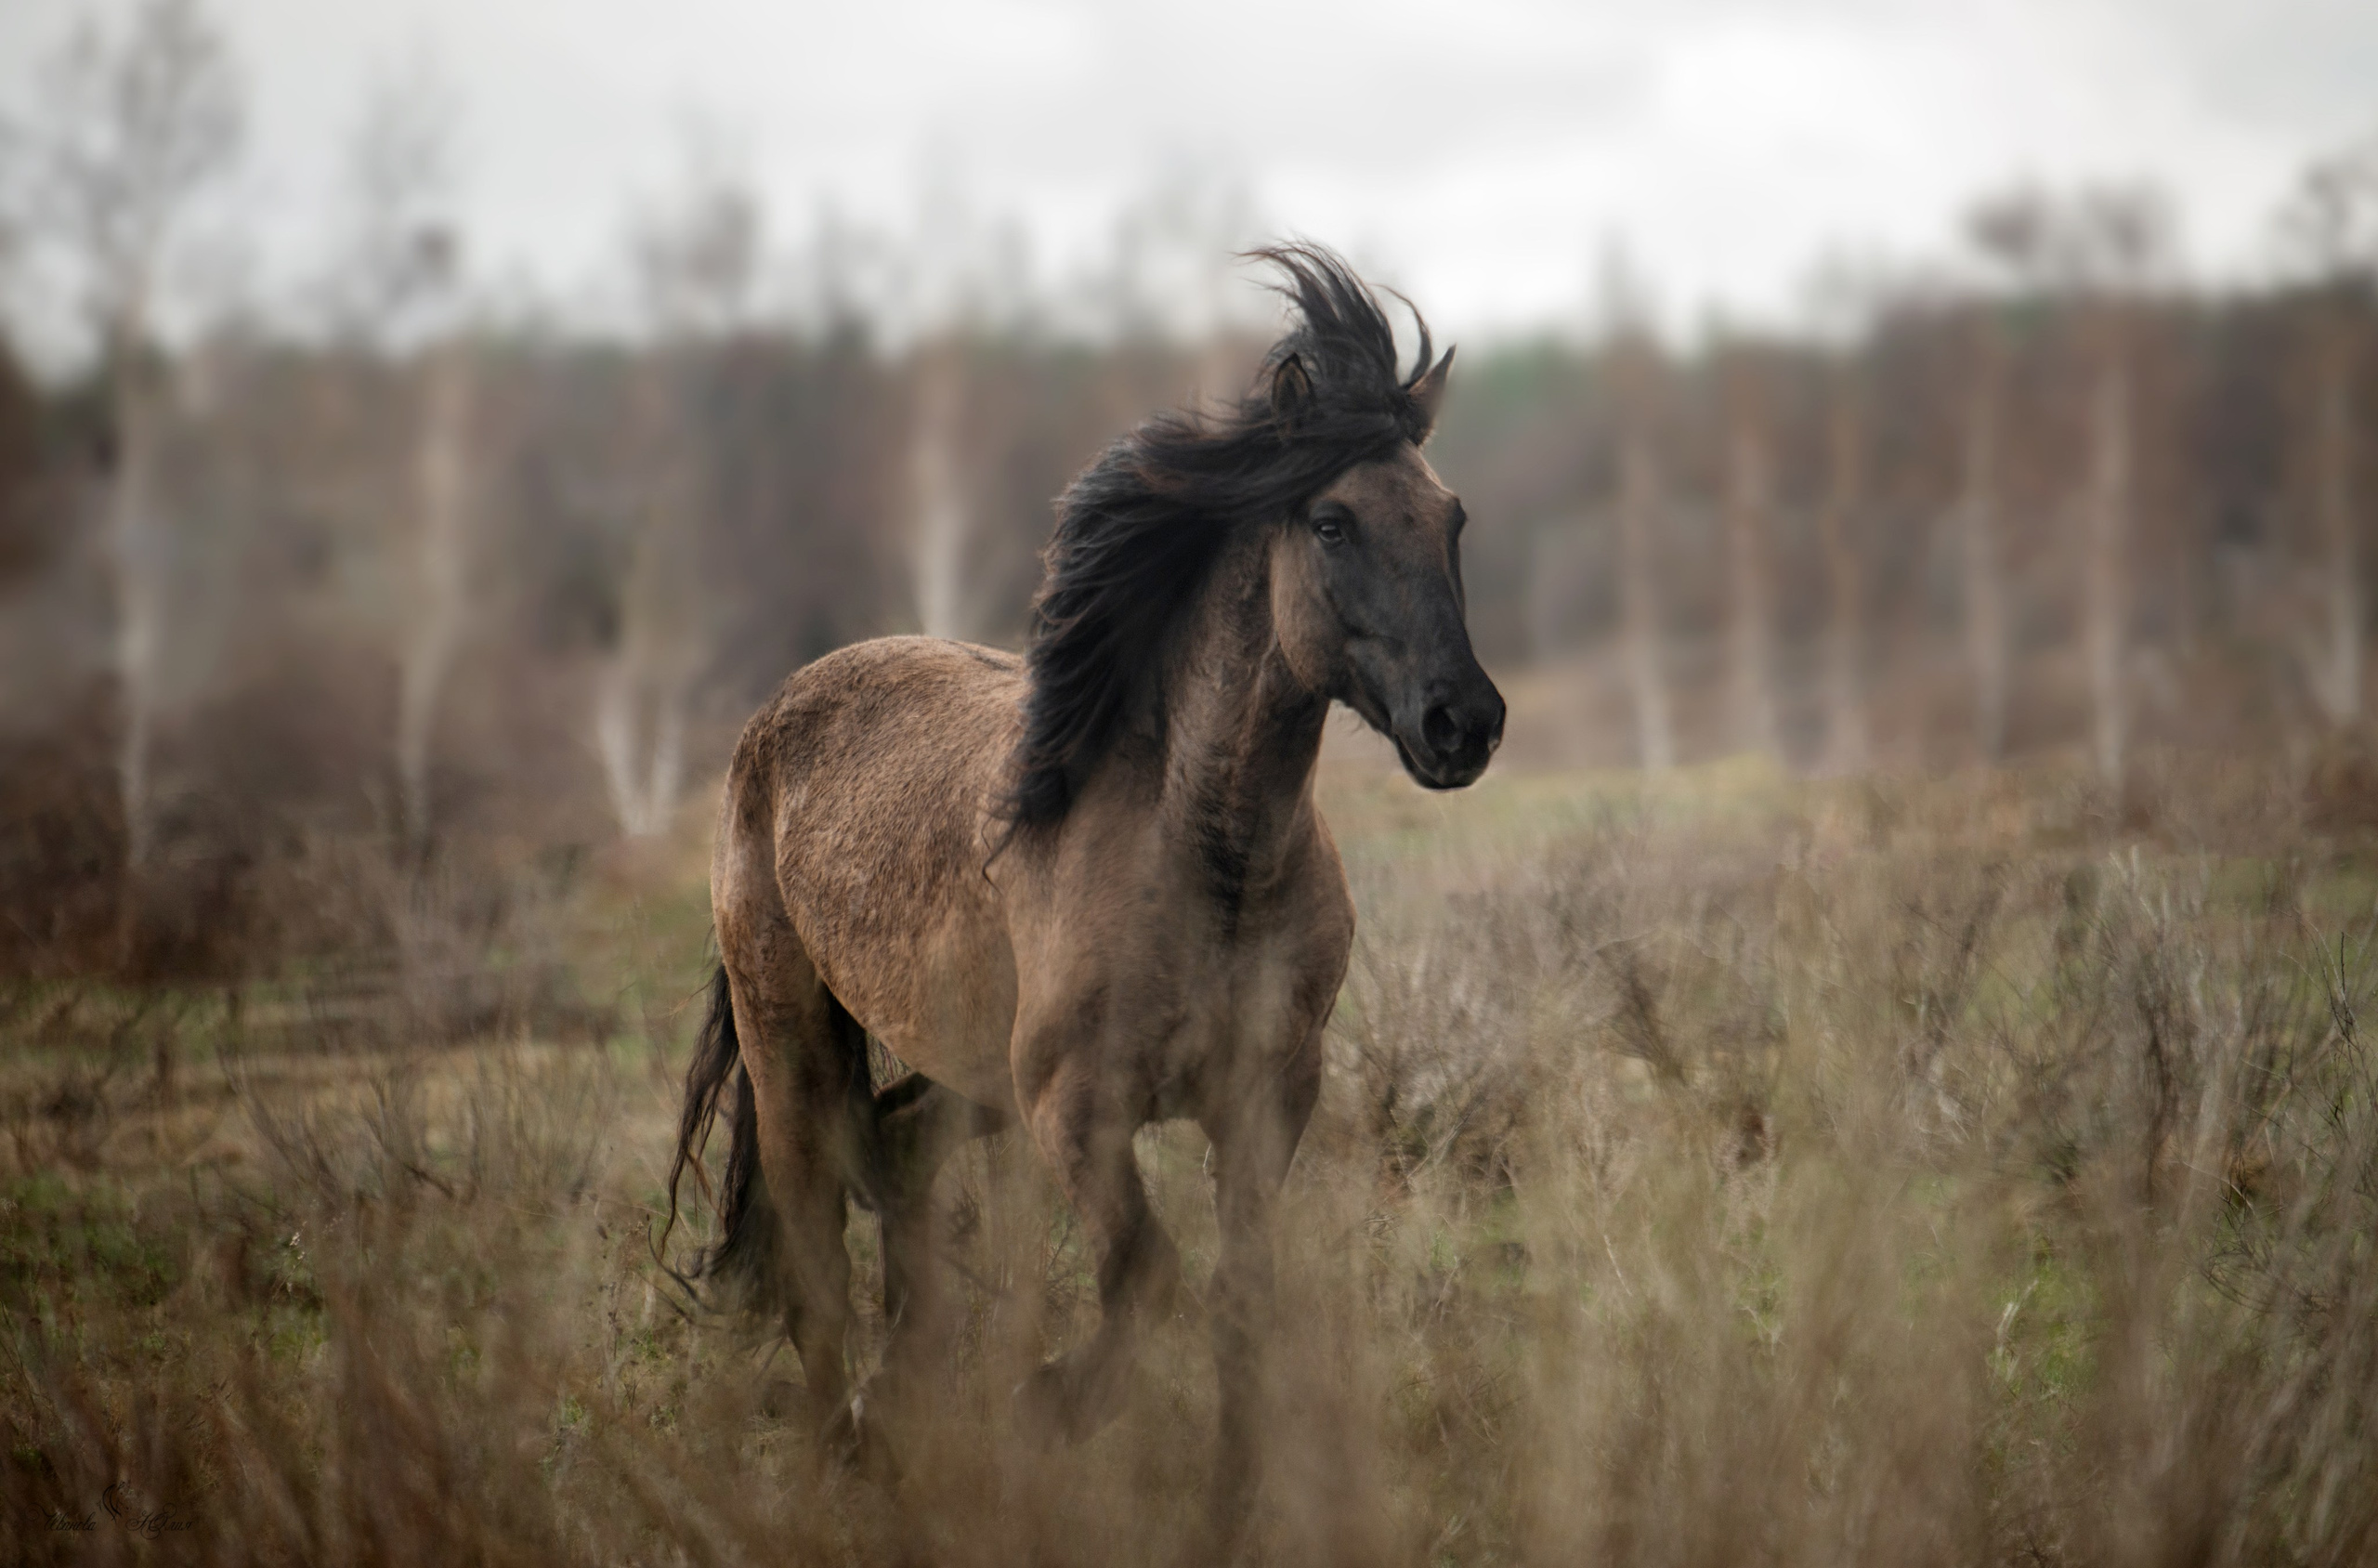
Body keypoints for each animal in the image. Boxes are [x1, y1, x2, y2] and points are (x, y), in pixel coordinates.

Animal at [664, 243, 1504, 1532]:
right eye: (1330, 519)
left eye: (1449, 516)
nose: (1463, 722)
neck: (1206, 858)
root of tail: (771, 720)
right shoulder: (1077, 1108)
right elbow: (1147, 1275)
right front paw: (1054, 1406)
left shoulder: (1264, 1098)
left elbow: (1237, 1298)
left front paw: (1225, 1512)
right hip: (793, 1043)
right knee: (813, 1261)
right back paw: (845, 1454)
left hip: (966, 1067)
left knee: (900, 1156)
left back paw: (894, 1422)